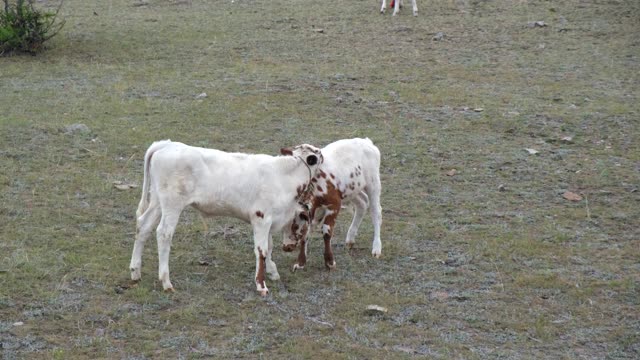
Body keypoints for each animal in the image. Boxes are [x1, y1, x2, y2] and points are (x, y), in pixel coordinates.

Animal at [129, 139, 324, 294]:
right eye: (319, 155)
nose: (290, 247)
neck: (283, 176)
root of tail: (166, 144)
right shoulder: (260, 218)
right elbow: (261, 251)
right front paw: (261, 285)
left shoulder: (268, 221)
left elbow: (269, 246)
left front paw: (272, 272)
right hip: (172, 204)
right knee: (164, 233)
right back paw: (166, 281)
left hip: (157, 202)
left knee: (143, 226)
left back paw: (135, 272)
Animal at [284, 138, 382, 270]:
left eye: (294, 226)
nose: (286, 247)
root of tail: (366, 142)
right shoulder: (313, 209)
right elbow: (306, 232)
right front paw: (300, 263)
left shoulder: (334, 204)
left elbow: (326, 231)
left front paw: (329, 261)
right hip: (351, 190)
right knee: (362, 203)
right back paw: (350, 238)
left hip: (373, 184)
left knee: (376, 212)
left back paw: (376, 247)